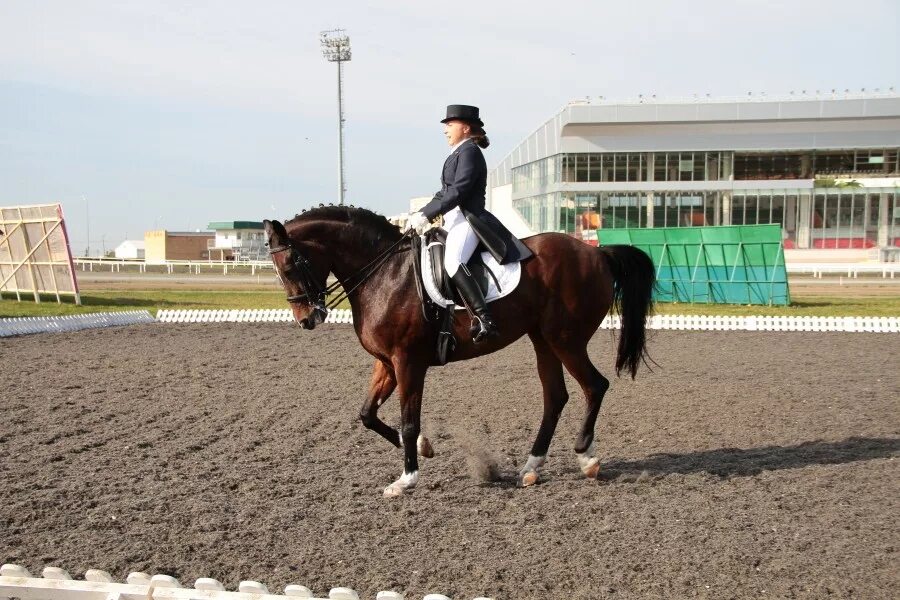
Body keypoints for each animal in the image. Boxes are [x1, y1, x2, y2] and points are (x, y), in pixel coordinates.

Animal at [262, 206, 652, 496]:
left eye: (290, 265)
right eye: (278, 270)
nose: (308, 318)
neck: (384, 274)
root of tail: (595, 252)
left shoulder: (408, 362)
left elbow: (408, 420)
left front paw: (406, 479)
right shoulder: (386, 363)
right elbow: (367, 415)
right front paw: (424, 447)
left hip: (565, 340)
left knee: (594, 386)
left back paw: (586, 458)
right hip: (543, 340)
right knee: (556, 397)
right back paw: (531, 468)